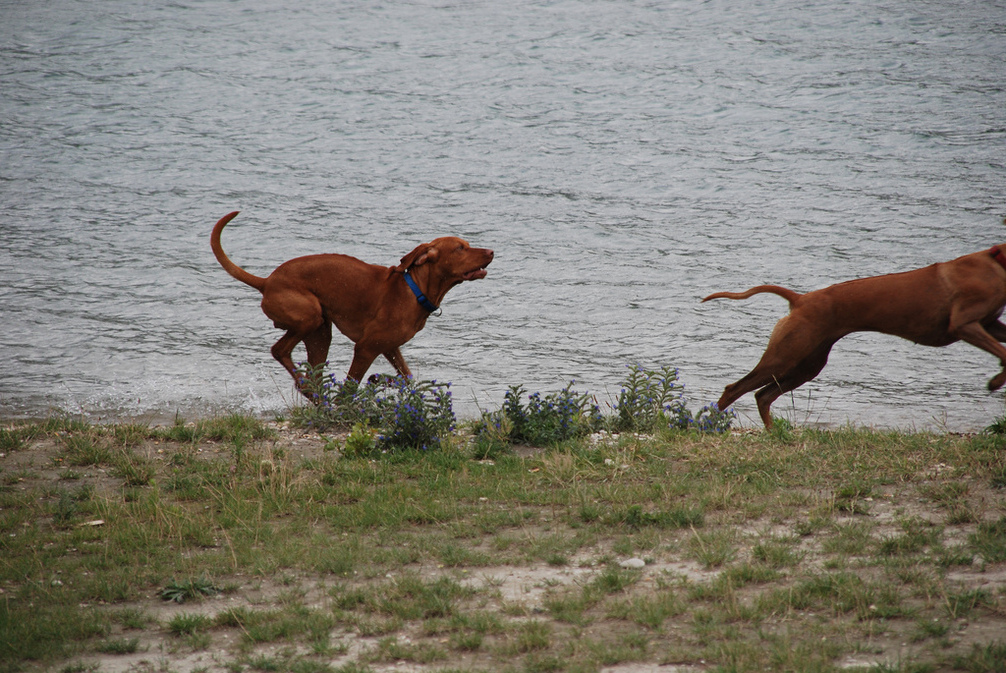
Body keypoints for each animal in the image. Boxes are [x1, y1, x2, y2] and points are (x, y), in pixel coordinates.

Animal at [210, 212, 492, 396]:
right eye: (460, 248)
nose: (491, 252)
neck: (414, 291)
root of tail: (267, 281)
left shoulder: (389, 347)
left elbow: (408, 378)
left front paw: (381, 381)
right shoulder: (366, 347)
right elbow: (350, 385)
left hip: (320, 333)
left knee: (313, 373)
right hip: (309, 317)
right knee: (280, 351)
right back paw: (310, 392)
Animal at [704, 244, 1006, 428]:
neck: (994, 262)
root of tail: (800, 299)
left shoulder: (989, 324)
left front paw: (998, 376)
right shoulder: (964, 325)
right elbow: (1003, 352)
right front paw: (997, 379)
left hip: (807, 365)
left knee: (763, 396)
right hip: (784, 357)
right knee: (735, 389)